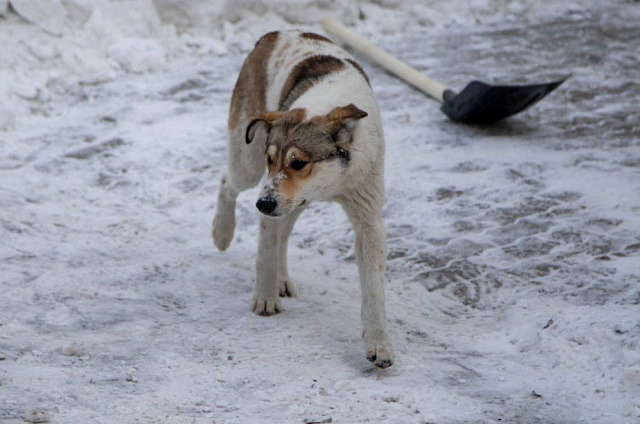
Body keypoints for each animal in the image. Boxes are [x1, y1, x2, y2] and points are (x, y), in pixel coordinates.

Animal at [214, 29, 396, 368]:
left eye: (298, 163)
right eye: (271, 159)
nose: (262, 204)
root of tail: (272, 34)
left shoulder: (368, 219)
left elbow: (374, 290)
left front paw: (379, 344)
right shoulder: (270, 189)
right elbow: (265, 251)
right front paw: (264, 298)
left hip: (292, 201)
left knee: (283, 229)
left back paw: (281, 276)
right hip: (247, 162)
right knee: (227, 182)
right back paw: (222, 231)